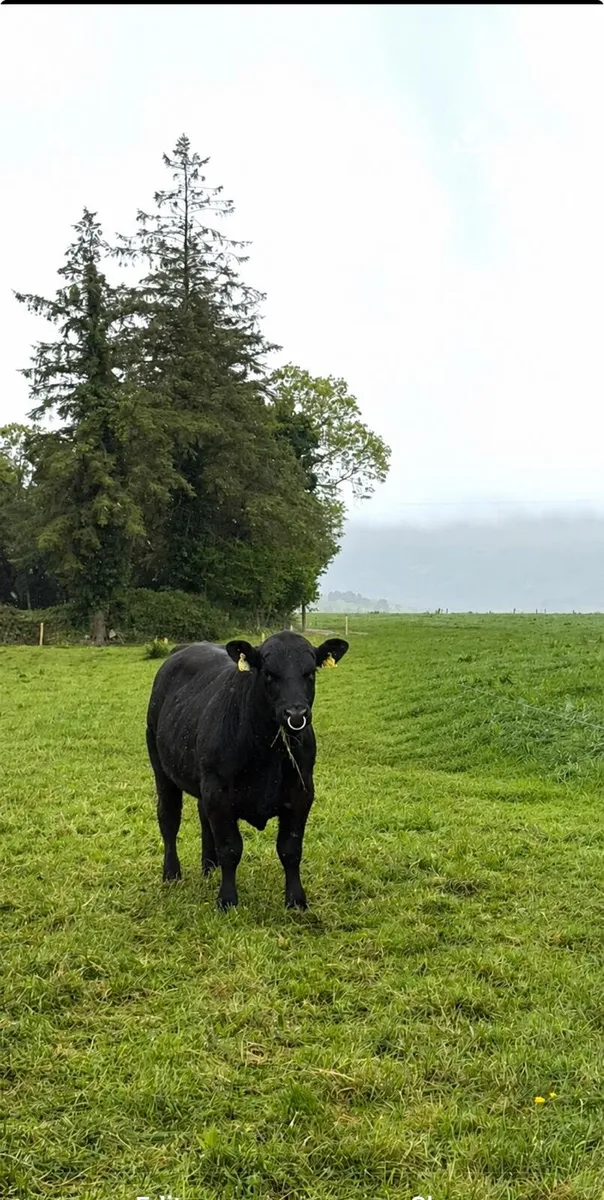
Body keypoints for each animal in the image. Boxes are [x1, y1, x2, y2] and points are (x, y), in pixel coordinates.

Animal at [146, 630, 349, 909]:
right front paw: (227, 899)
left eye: (310, 673)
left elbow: (290, 848)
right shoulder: (219, 794)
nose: (296, 714)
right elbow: (230, 848)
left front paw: (296, 900)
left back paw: (209, 867)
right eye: (269, 673)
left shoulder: (302, 792)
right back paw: (171, 873)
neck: (267, 753)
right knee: (168, 818)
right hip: (162, 769)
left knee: (202, 816)